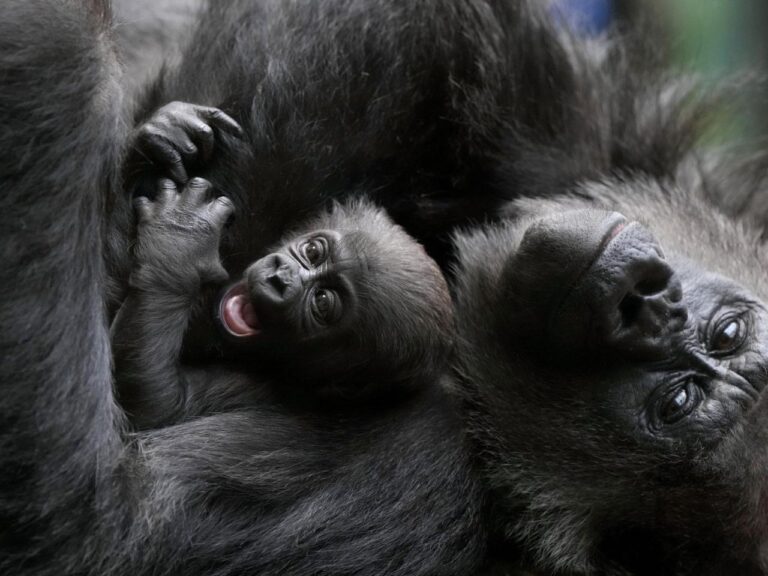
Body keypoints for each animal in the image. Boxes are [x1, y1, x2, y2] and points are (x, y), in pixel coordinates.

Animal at [111, 179, 452, 428]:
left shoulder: (269, 391)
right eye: (313, 251)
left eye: (322, 301)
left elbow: (159, 404)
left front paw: (178, 246)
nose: (280, 278)